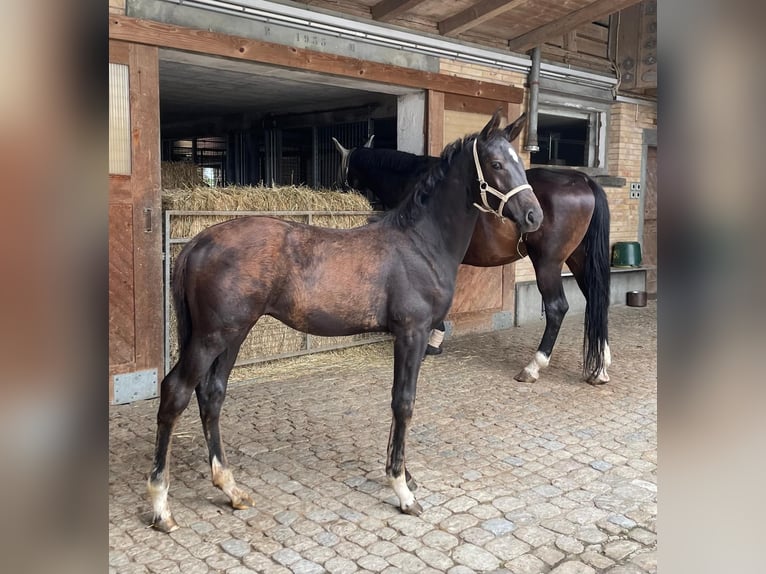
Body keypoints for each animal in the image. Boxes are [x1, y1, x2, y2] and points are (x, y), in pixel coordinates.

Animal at [148, 112, 544, 536]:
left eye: (521, 163)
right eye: (496, 164)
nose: (534, 216)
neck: (419, 243)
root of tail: (199, 242)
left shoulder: (412, 338)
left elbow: (399, 399)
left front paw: (403, 473)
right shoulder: (412, 333)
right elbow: (404, 402)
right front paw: (402, 490)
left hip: (234, 334)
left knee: (212, 395)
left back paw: (231, 488)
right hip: (212, 336)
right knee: (175, 392)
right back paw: (161, 506)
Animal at [334, 122, 612, 388]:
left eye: (342, 171)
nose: (339, 188)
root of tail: (584, 180)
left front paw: (432, 341)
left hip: (548, 263)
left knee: (557, 308)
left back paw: (533, 366)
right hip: (578, 258)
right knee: (597, 298)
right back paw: (600, 367)